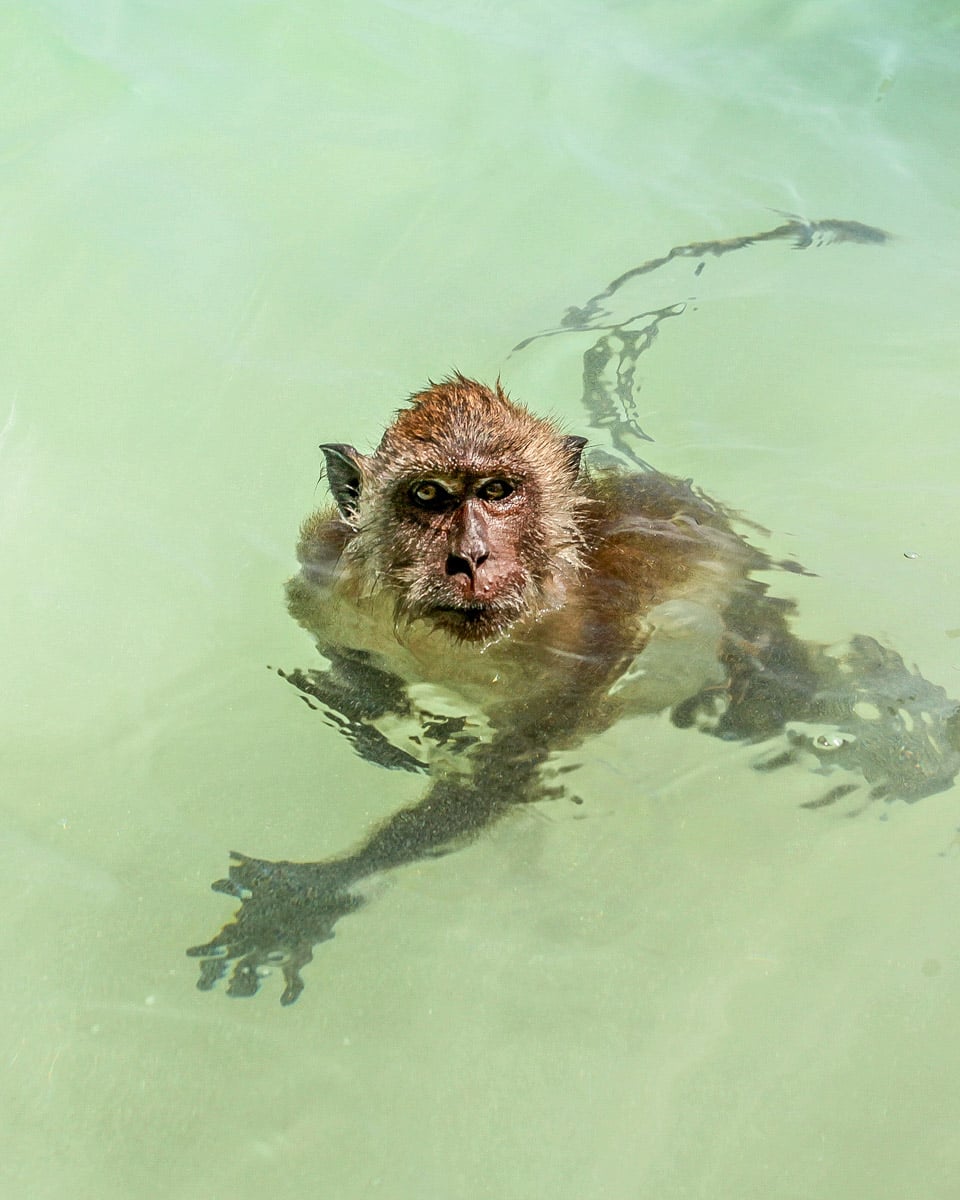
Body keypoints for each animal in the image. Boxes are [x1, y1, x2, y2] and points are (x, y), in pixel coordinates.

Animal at [188, 375, 960, 1004]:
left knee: (768, 697)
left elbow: (510, 768)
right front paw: (378, 714)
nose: (470, 557)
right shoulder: (323, 570)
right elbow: (336, 652)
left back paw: (896, 734)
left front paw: (320, 887)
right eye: (428, 495)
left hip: (739, 615)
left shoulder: (594, 639)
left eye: (498, 491)